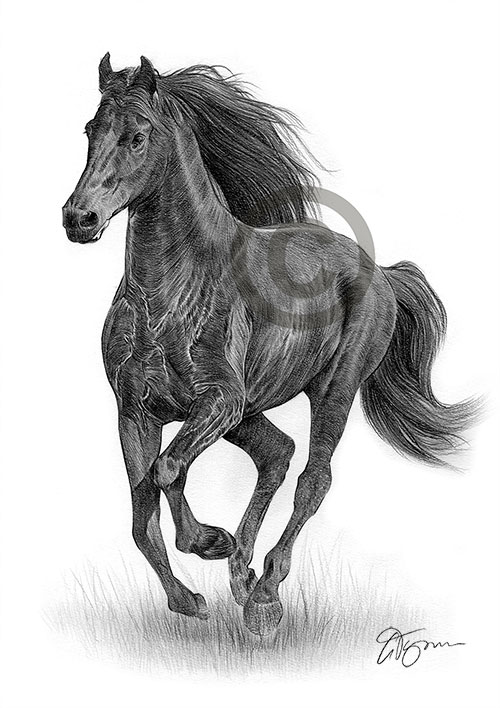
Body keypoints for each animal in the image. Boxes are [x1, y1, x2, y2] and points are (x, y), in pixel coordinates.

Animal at [62, 54, 480, 636]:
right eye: (90, 131)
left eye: (138, 136)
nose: (78, 218)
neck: (167, 299)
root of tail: (381, 272)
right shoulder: (136, 411)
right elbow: (142, 514)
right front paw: (189, 598)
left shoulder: (219, 400)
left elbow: (167, 470)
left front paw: (208, 542)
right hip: (247, 414)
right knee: (278, 455)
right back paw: (241, 577)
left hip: (330, 392)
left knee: (312, 479)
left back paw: (264, 594)